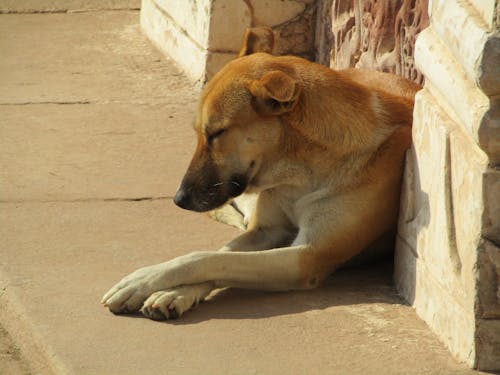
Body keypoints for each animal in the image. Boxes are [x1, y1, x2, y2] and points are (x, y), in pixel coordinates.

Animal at [102, 27, 422, 320]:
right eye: (199, 133)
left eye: (216, 133)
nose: (179, 199)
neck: (302, 172)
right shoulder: (265, 231)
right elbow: (219, 255)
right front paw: (173, 291)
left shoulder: (306, 257)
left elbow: (206, 259)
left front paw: (145, 281)